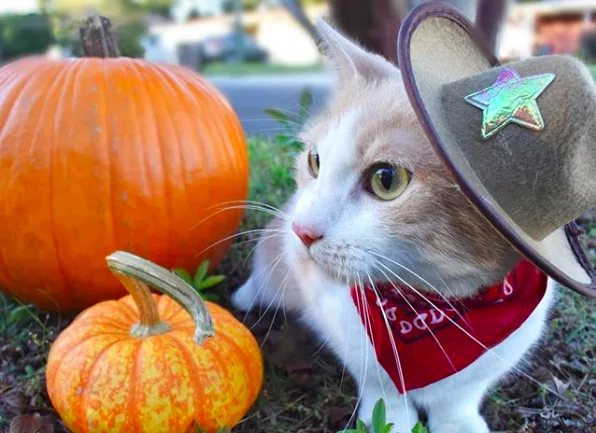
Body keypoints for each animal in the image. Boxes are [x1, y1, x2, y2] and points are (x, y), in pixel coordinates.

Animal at [232, 20, 556, 432]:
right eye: (315, 160)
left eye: (387, 180)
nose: (302, 230)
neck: (432, 304)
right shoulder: (347, 332)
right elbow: (380, 386)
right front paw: (390, 419)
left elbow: (460, 396)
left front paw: (458, 422)